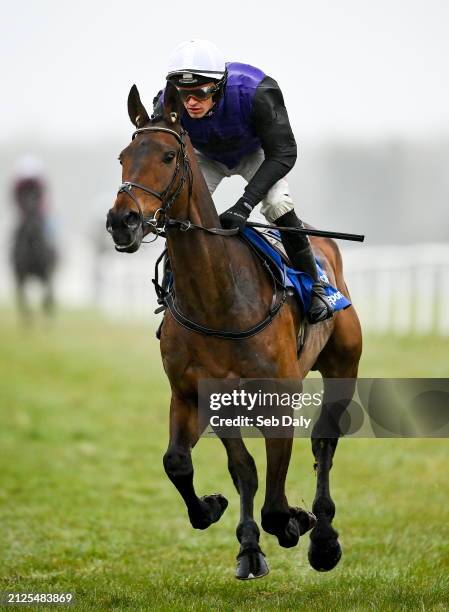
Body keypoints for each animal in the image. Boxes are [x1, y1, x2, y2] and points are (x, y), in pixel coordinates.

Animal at [107, 83, 362, 580]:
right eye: (124, 156)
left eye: (168, 155)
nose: (122, 221)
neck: (218, 297)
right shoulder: (196, 393)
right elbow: (191, 464)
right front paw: (225, 522)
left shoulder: (279, 398)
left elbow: (276, 500)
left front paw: (295, 523)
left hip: (344, 364)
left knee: (325, 441)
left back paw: (323, 537)